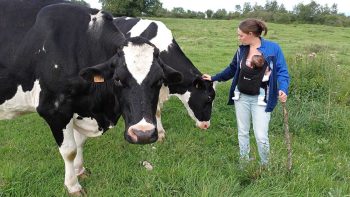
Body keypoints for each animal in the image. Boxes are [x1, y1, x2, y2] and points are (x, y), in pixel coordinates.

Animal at [1, 0, 183, 194]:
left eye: (160, 80)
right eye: (117, 79)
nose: (143, 134)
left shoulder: (79, 107)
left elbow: (80, 142)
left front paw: (79, 170)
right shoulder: (54, 109)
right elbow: (69, 150)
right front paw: (73, 186)